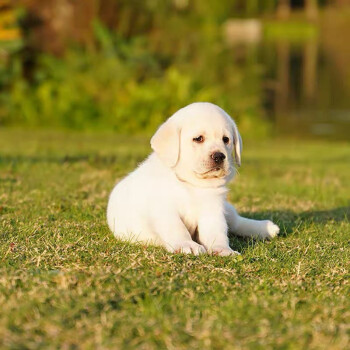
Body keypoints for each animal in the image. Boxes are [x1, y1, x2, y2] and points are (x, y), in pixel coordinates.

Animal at [106, 102, 278, 256]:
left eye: (226, 139)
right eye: (198, 138)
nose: (219, 156)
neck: (191, 185)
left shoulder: (213, 209)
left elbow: (217, 231)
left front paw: (223, 249)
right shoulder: (164, 209)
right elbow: (177, 228)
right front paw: (187, 245)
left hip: (226, 208)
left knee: (236, 221)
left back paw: (267, 228)